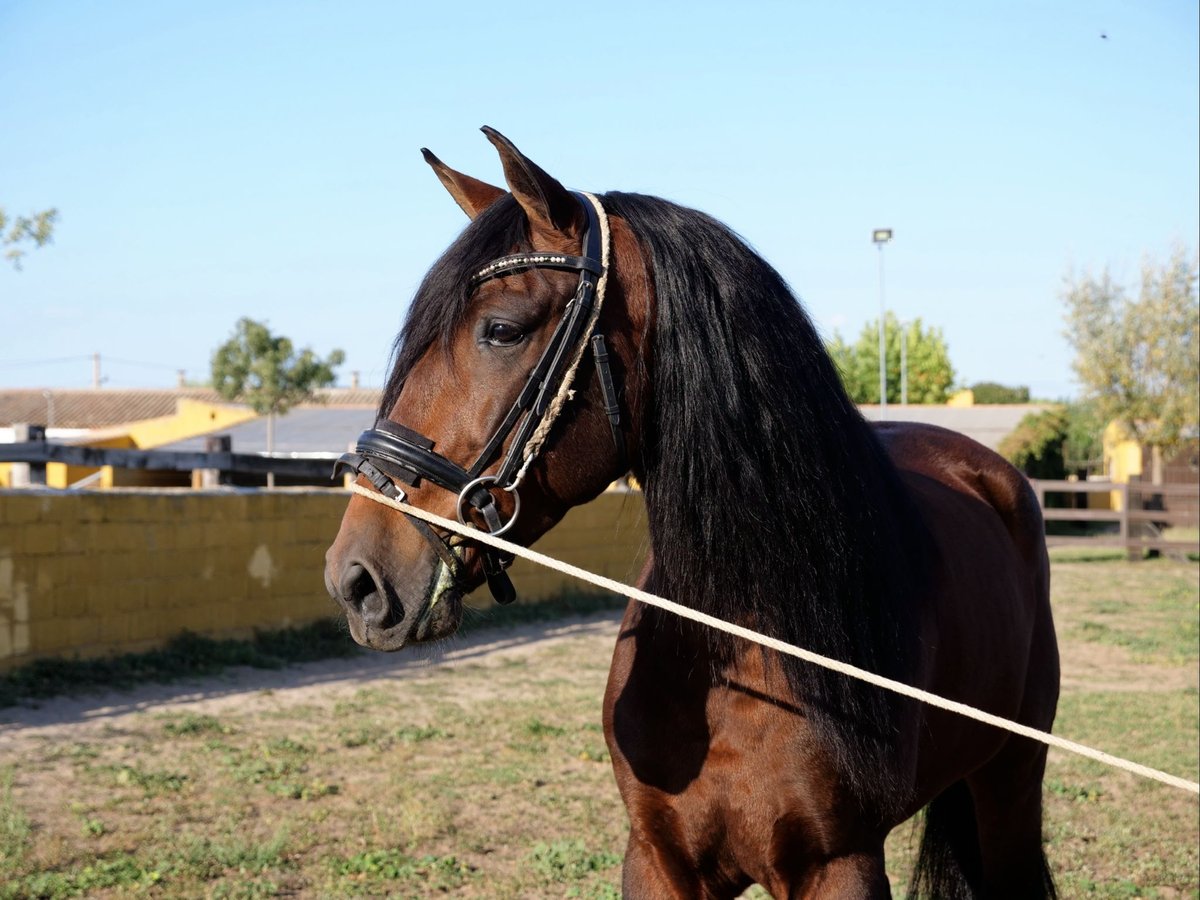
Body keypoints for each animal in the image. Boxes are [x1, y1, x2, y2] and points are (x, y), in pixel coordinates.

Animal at [321, 128, 1060, 900]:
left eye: (501, 329)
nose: (356, 579)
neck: (738, 646)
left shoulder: (842, 866)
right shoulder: (658, 858)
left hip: (1009, 787)